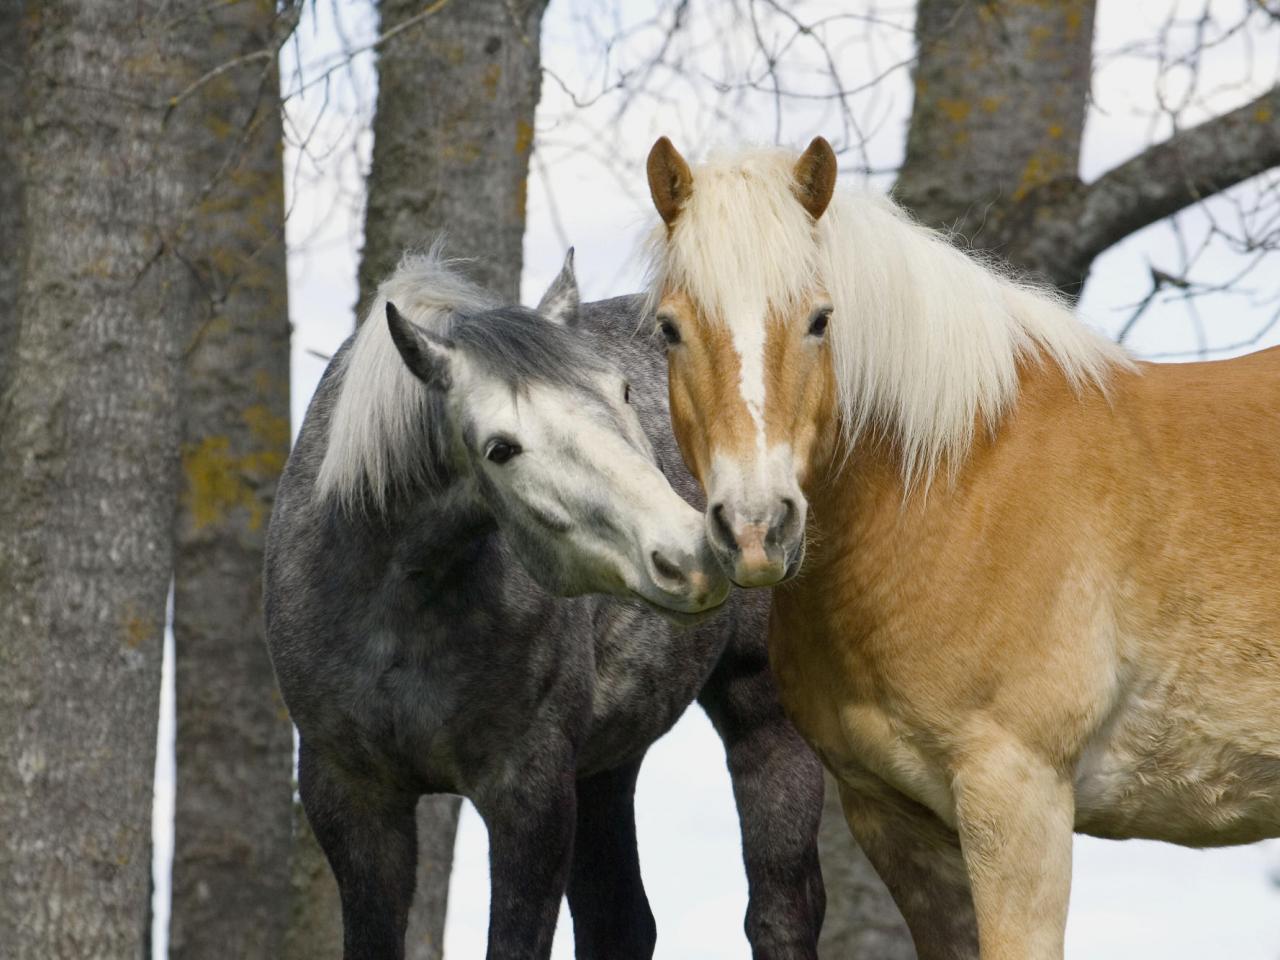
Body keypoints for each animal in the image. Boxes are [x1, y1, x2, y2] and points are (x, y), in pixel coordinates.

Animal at [266, 245, 824, 960]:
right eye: (500, 448)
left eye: (621, 393)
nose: (693, 555)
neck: (398, 605)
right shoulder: (352, 798)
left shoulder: (529, 794)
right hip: (608, 762)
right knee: (621, 921)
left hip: (764, 718)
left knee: (779, 913)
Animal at [645, 136, 1280, 960]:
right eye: (670, 329)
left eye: (820, 320)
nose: (757, 526)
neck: (954, 483)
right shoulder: (898, 824)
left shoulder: (1017, 797)